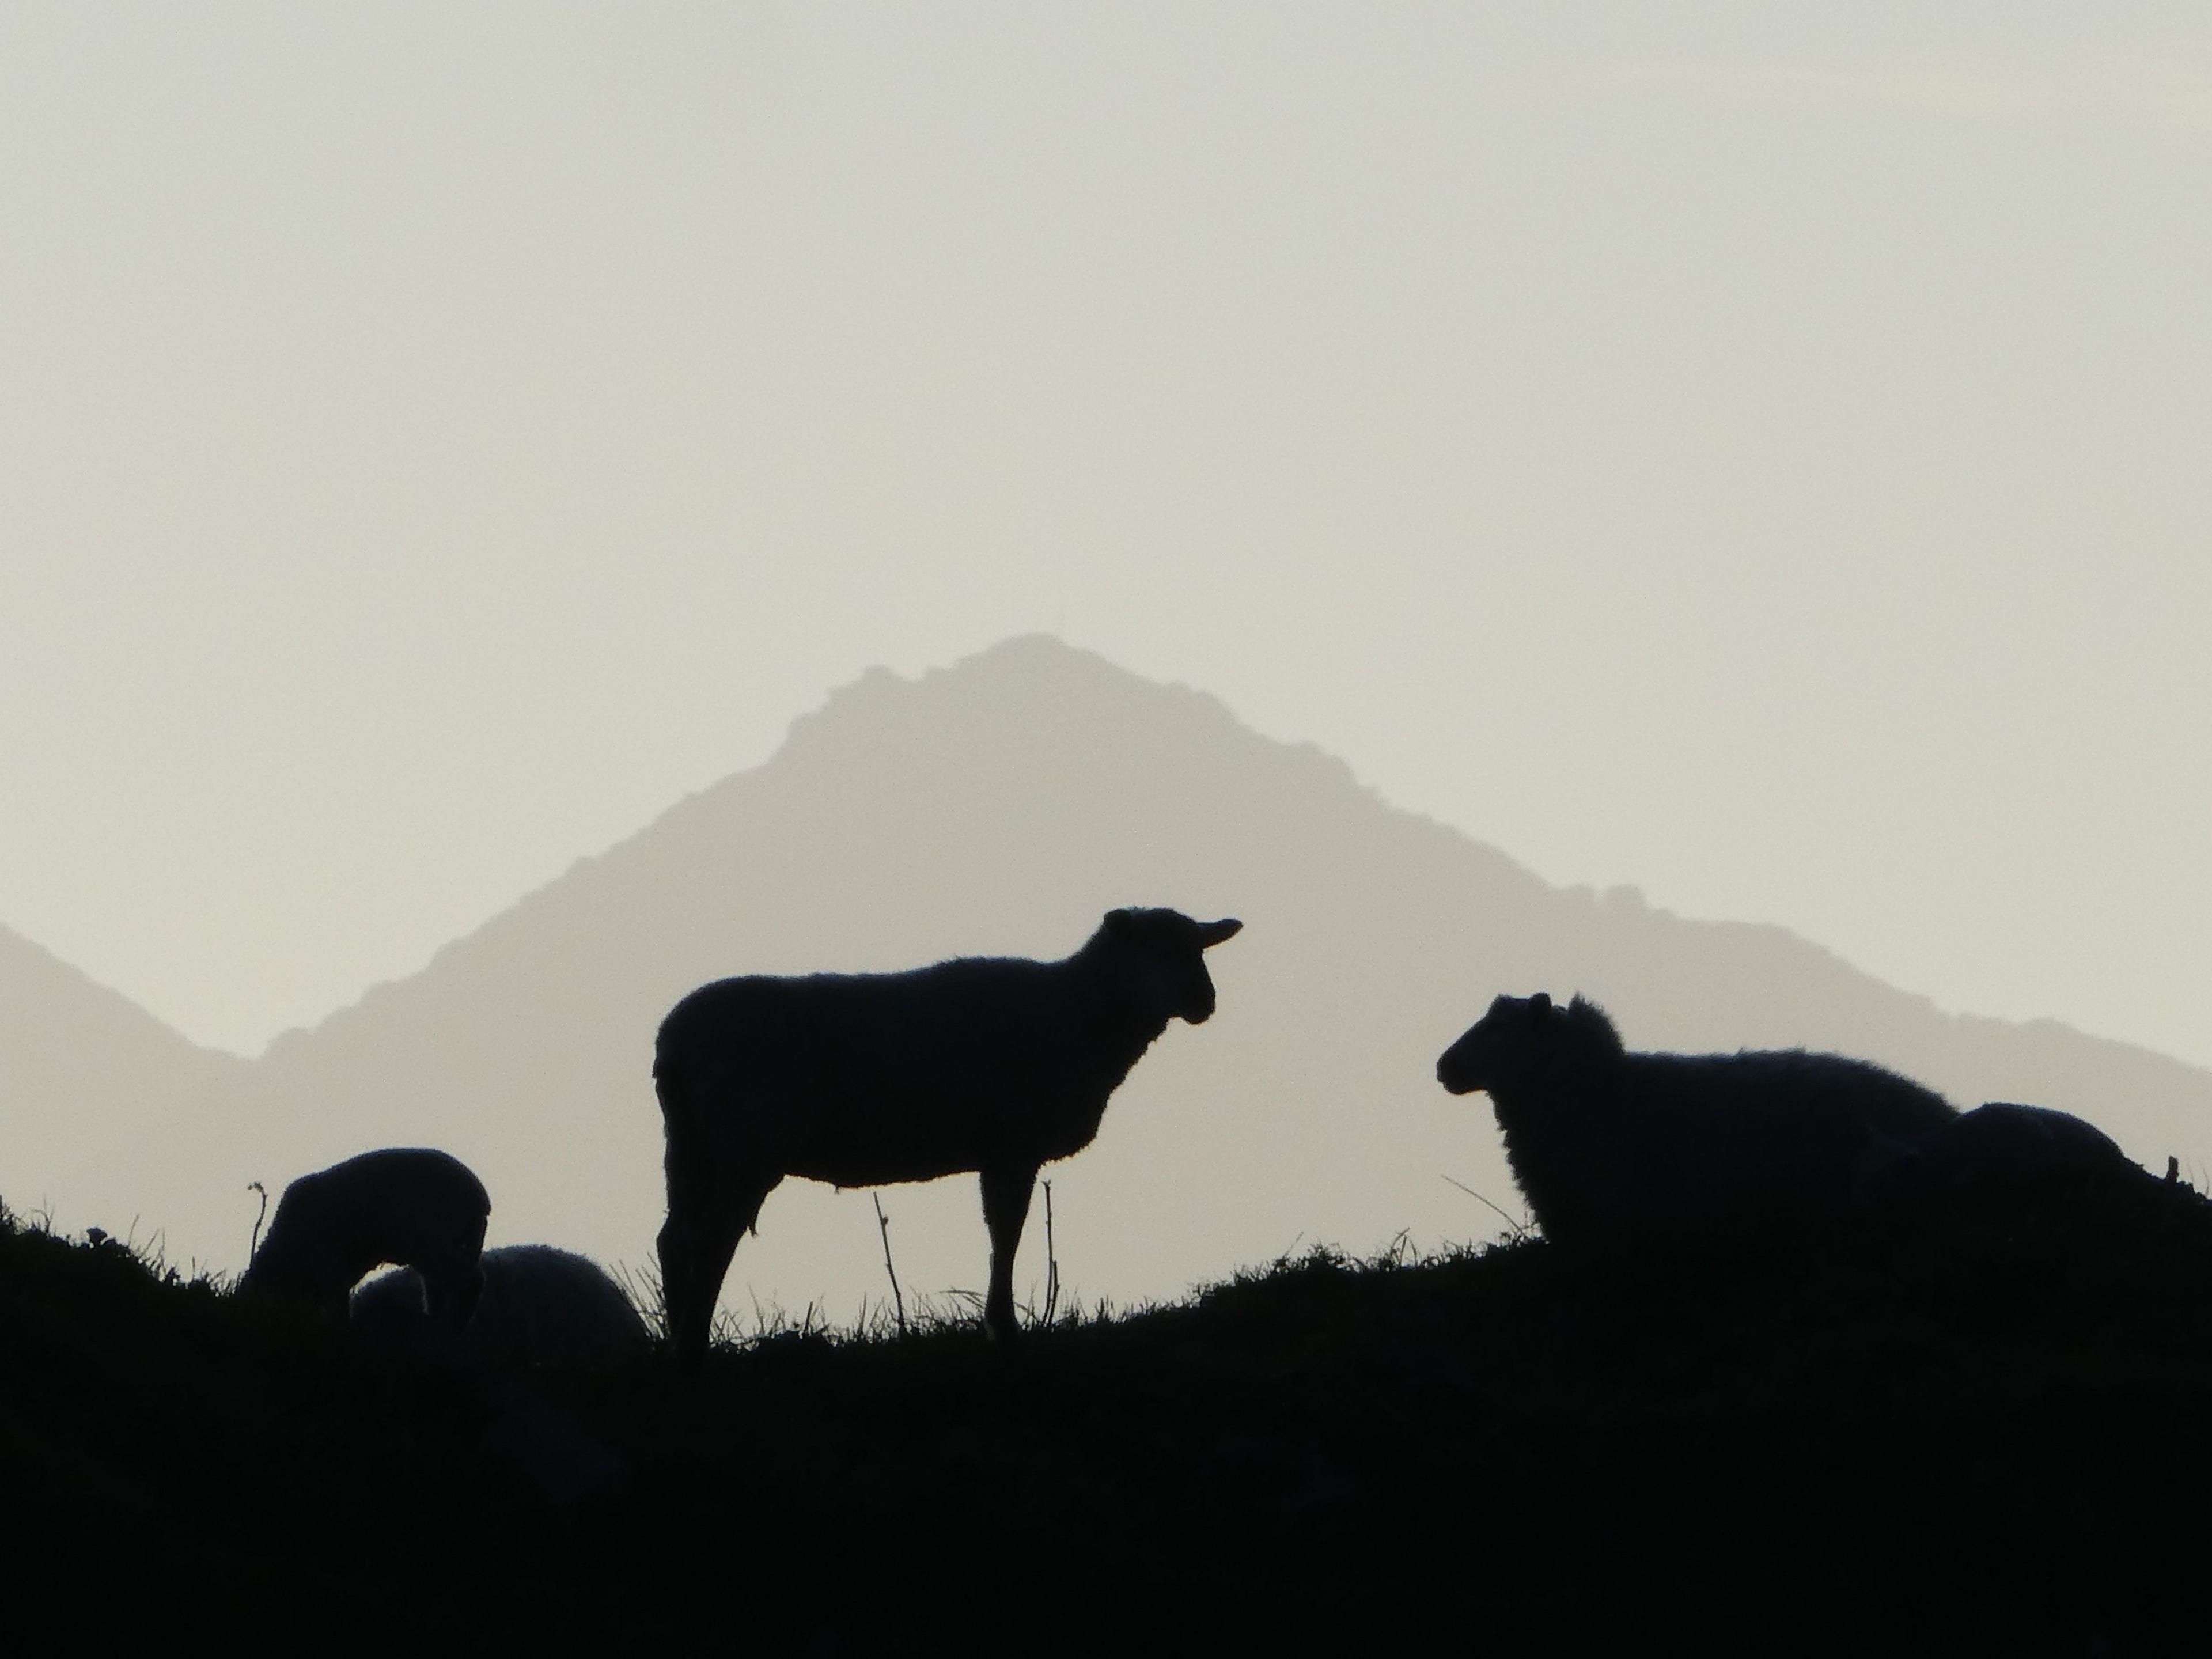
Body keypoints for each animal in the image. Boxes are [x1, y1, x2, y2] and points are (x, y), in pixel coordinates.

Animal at [244, 1150, 491, 1336]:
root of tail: (479, 1198)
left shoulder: (327, 1259)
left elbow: (337, 1303)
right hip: (461, 1242)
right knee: (439, 1287)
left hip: (428, 1239)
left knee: (468, 1278)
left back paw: (456, 1324)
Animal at [654, 911, 1247, 1362]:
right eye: (1151, 948)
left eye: (1199, 949)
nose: (1204, 1000)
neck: (1077, 1013)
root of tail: (673, 1040)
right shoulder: (1013, 1146)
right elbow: (1007, 1233)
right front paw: (1003, 1328)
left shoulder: (1002, 1152)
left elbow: (1003, 1233)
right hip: (747, 1147)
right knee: (712, 1240)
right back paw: (693, 1346)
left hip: (689, 1147)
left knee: (674, 1238)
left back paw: (674, 1342)